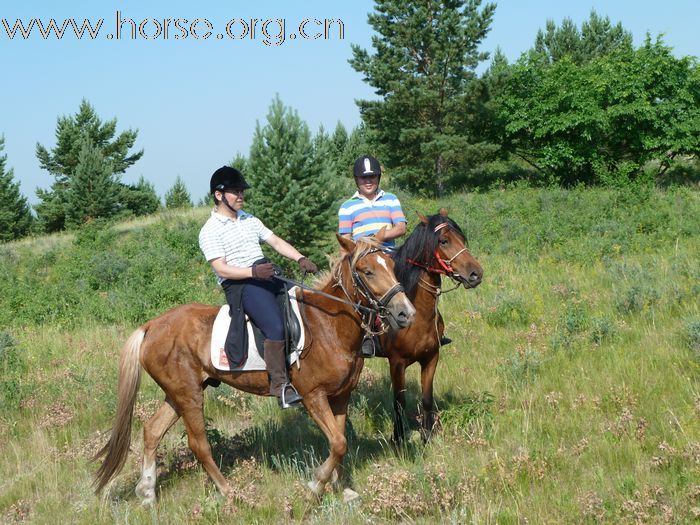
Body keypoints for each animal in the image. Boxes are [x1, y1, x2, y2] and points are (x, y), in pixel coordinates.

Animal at [93, 233, 416, 500]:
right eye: (367, 271)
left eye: (391, 264)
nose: (406, 313)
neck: (328, 325)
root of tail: (150, 327)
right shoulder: (313, 395)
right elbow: (337, 443)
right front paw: (315, 486)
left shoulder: (340, 396)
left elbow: (340, 441)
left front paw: (341, 488)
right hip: (189, 396)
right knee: (199, 444)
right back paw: (229, 493)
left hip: (178, 394)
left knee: (152, 431)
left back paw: (147, 492)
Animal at [382, 209, 482, 442]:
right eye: (444, 241)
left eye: (461, 238)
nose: (476, 274)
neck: (417, 316)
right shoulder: (396, 363)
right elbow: (399, 403)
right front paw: (398, 439)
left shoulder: (431, 357)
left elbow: (427, 398)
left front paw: (427, 435)